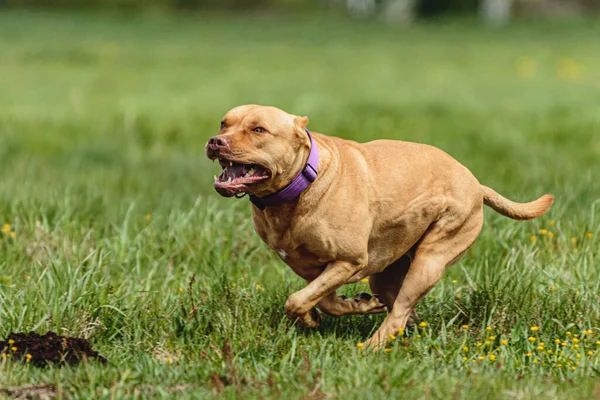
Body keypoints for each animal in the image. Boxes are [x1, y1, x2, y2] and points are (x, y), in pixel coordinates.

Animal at [205, 104, 552, 348]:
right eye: (224, 123)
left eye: (259, 129)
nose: (215, 141)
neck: (301, 185)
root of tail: (478, 185)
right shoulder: (312, 268)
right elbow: (322, 300)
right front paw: (341, 310)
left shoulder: (349, 261)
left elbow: (297, 299)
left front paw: (314, 314)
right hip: (387, 273)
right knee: (400, 308)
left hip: (429, 261)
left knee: (398, 314)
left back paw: (369, 348)